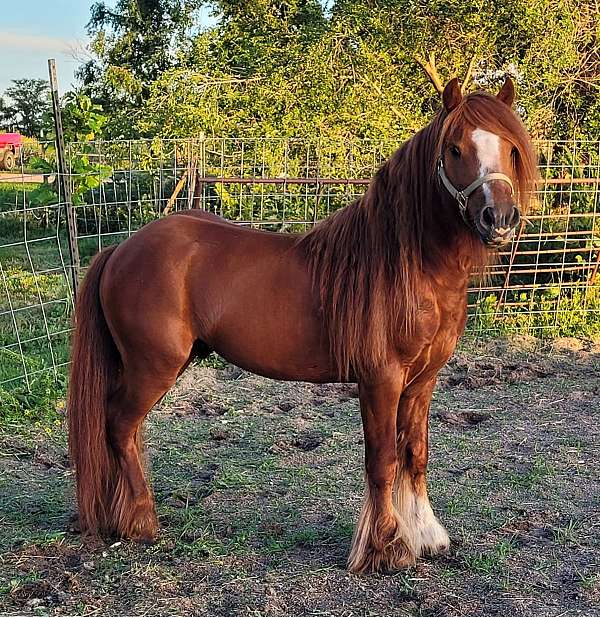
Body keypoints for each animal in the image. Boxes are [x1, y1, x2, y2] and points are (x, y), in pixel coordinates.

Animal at [68, 77, 536, 572]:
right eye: (454, 148)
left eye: (510, 147)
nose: (499, 219)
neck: (409, 266)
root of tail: (120, 250)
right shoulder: (380, 379)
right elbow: (383, 460)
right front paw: (384, 548)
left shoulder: (422, 381)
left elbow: (416, 453)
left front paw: (425, 535)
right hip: (152, 367)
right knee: (119, 425)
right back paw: (141, 522)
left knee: (125, 431)